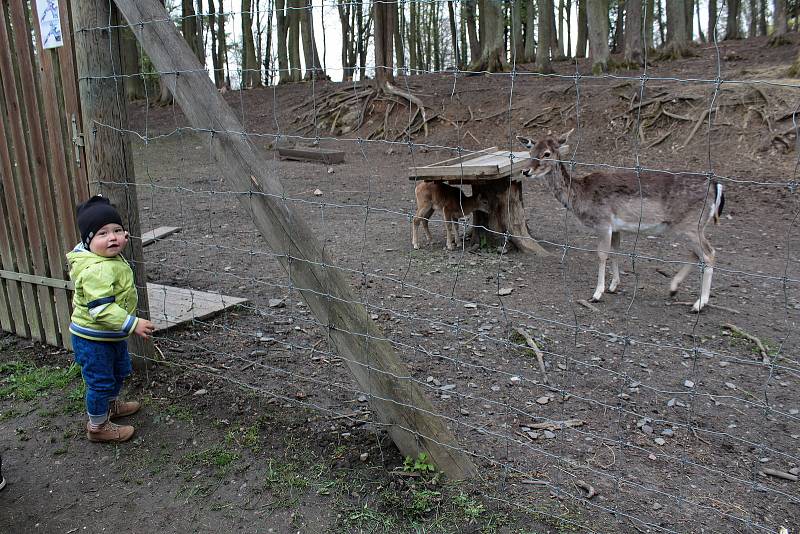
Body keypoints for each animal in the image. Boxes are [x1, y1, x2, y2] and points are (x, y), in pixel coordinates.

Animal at [516, 131, 728, 314]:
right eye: (530, 151)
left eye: (547, 153)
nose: (526, 171)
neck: (581, 196)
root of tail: (716, 185)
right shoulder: (616, 227)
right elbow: (616, 251)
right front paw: (613, 285)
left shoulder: (603, 222)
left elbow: (602, 254)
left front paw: (597, 293)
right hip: (687, 226)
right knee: (697, 253)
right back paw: (673, 288)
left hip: (691, 224)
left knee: (709, 253)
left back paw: (699, 303)